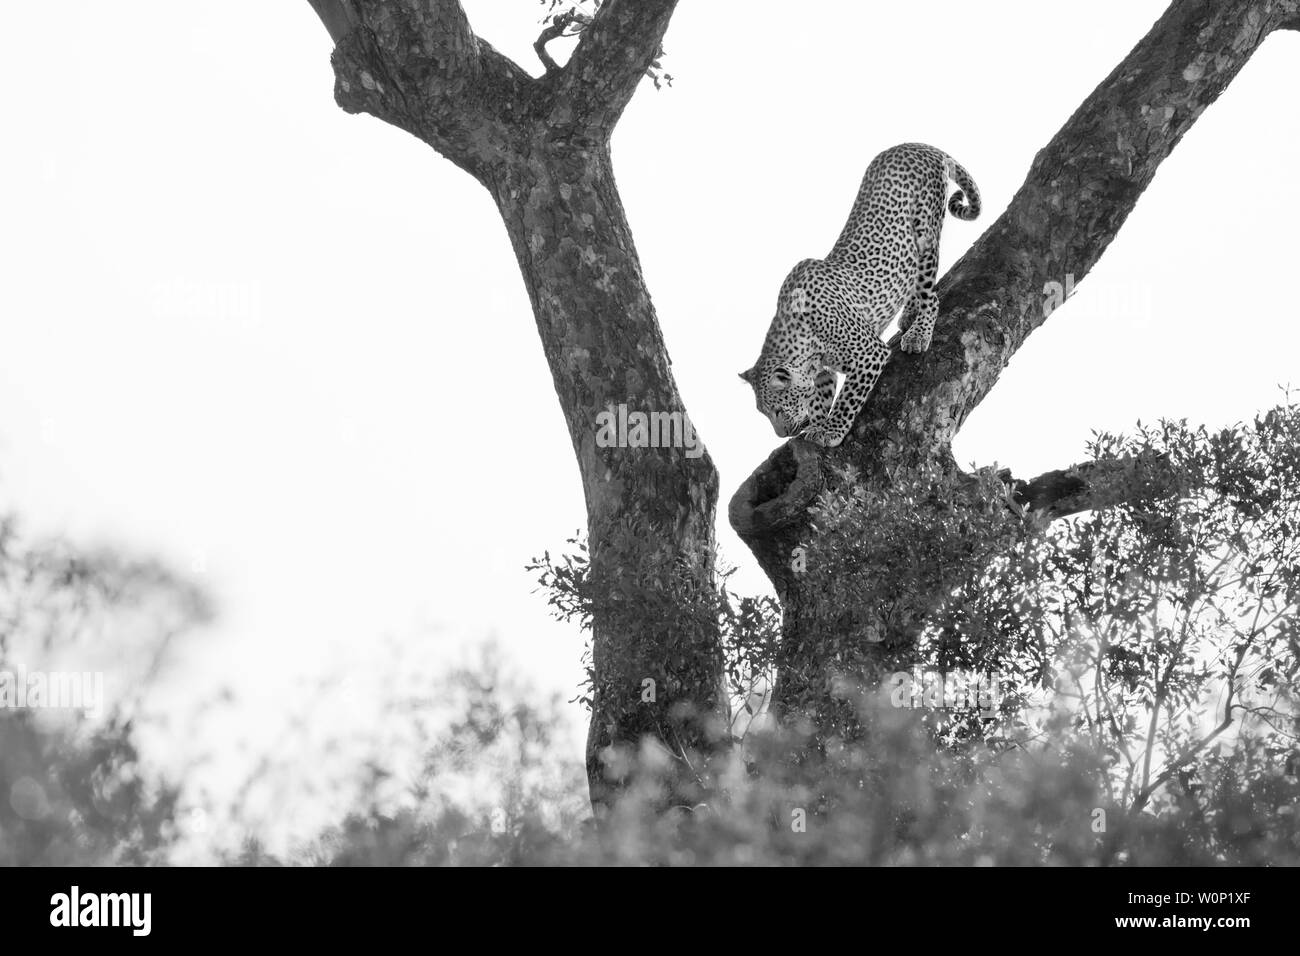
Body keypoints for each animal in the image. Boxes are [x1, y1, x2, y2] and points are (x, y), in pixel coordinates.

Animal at [740, 142, 980, 447]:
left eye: (777, 411)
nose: (782, 434)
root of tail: (918, 145)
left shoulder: (869, 354)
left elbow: (847, 399)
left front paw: (832, 431)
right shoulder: (824, 371)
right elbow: (820, 398)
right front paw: (817, 424)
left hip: (926, 235)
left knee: (931, 295)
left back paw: (918, 333)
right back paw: (910, 313)